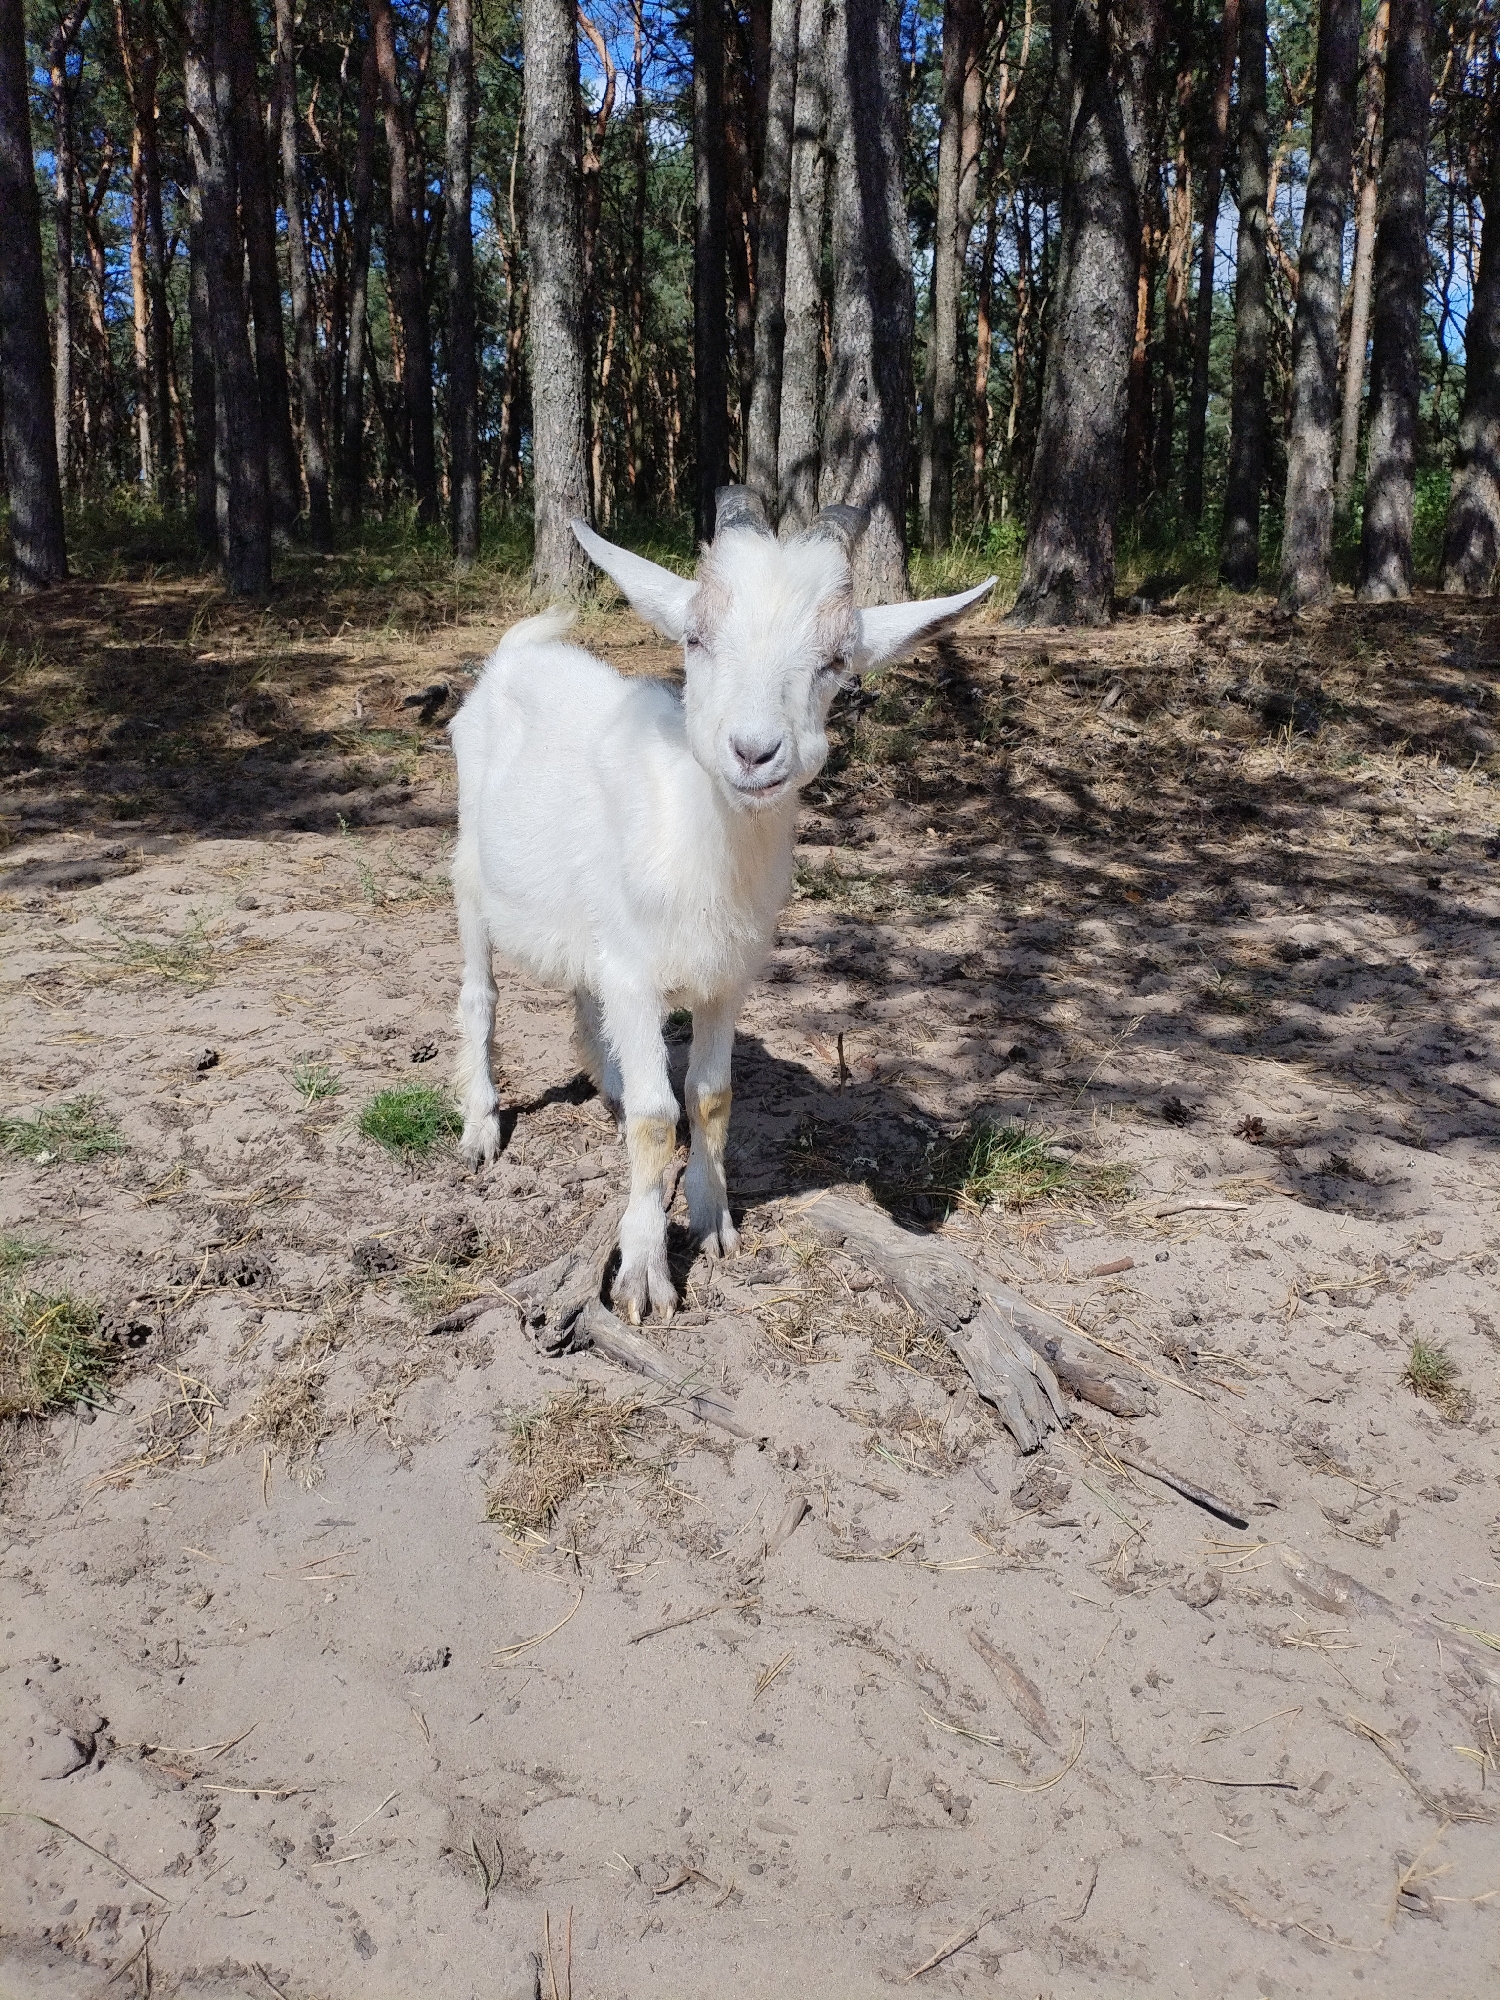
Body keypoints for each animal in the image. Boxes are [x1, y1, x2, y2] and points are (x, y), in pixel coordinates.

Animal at [449, 488, 995, 1322]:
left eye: (837, 661)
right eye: (695, 638)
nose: (754, 752)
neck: (696, 841)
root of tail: (514, 653)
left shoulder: (726, 979)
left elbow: (708, 1097)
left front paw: (714, 1222)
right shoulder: (637, 973)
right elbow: (655, 1117)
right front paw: (644, 1272)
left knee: (584, 996)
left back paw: (606, 1079)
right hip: (470, 874)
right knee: (480, 996)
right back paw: (481, 1126)